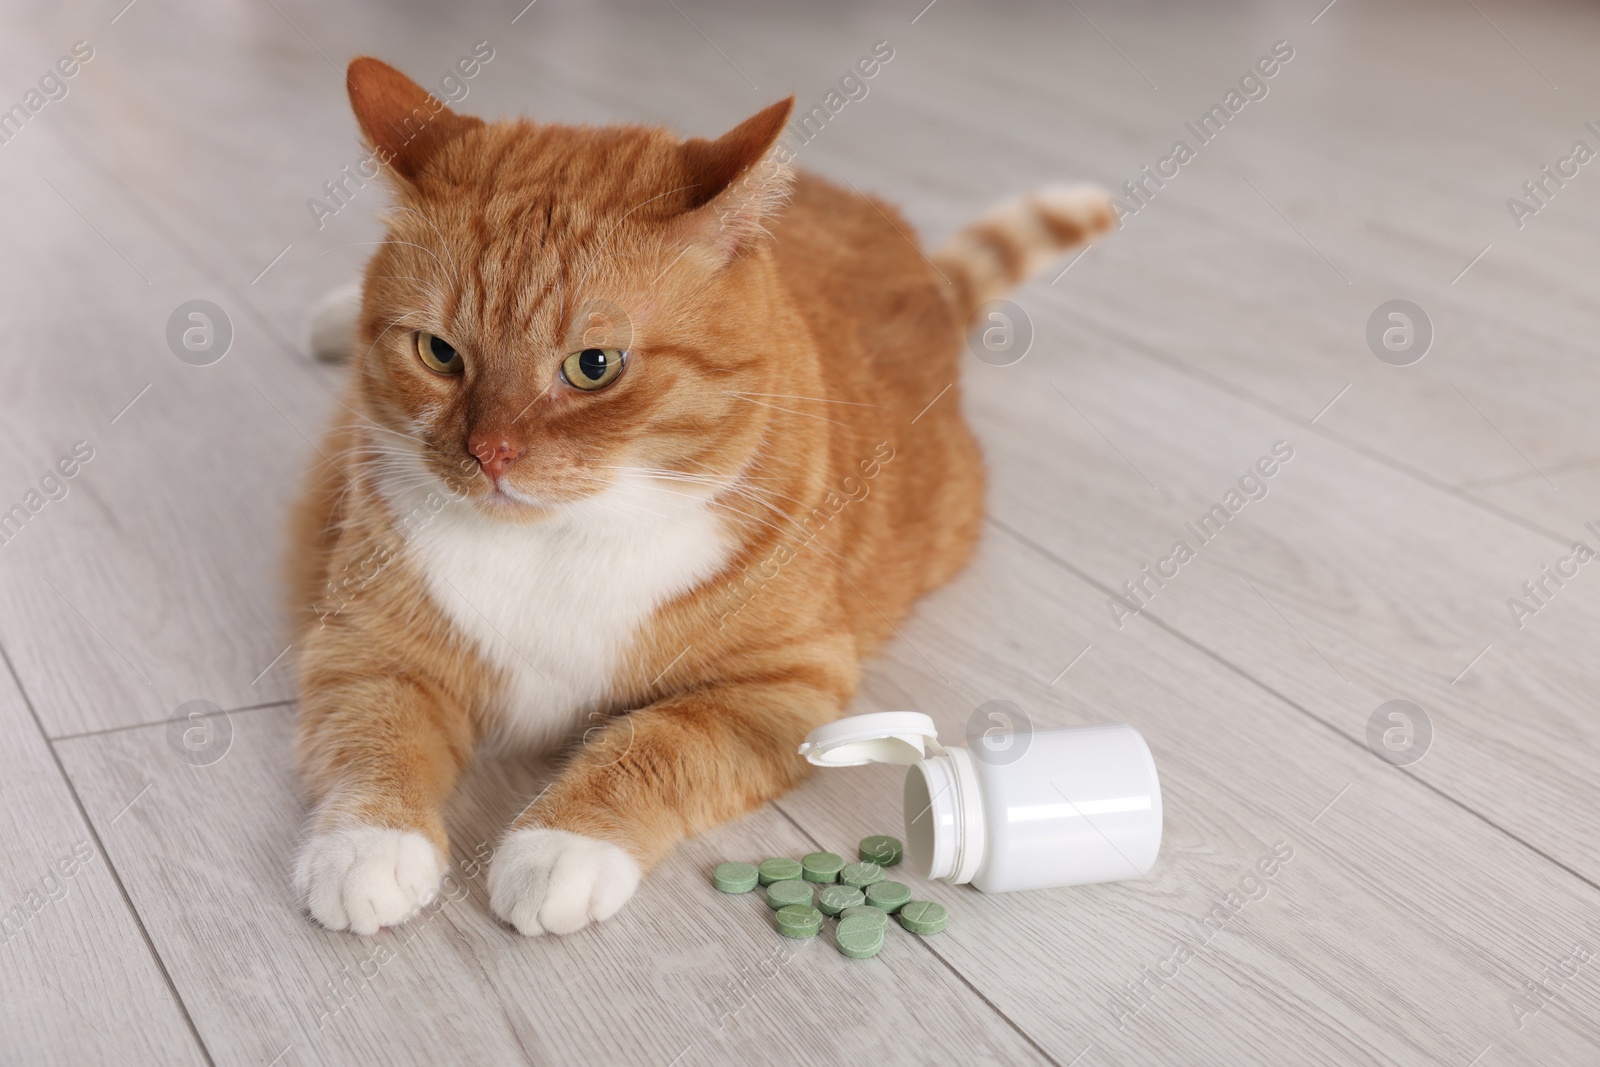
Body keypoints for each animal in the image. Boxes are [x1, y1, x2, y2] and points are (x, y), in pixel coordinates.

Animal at [291, 56, 1113, 934]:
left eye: (594, 366)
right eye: (440, 352)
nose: (489, 453)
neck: (556, 539)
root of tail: (924, 278)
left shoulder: (784, 689)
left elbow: (655, 743)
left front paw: (561, 848)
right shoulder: (362, 644)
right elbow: (374, 736)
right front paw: (367, 847)